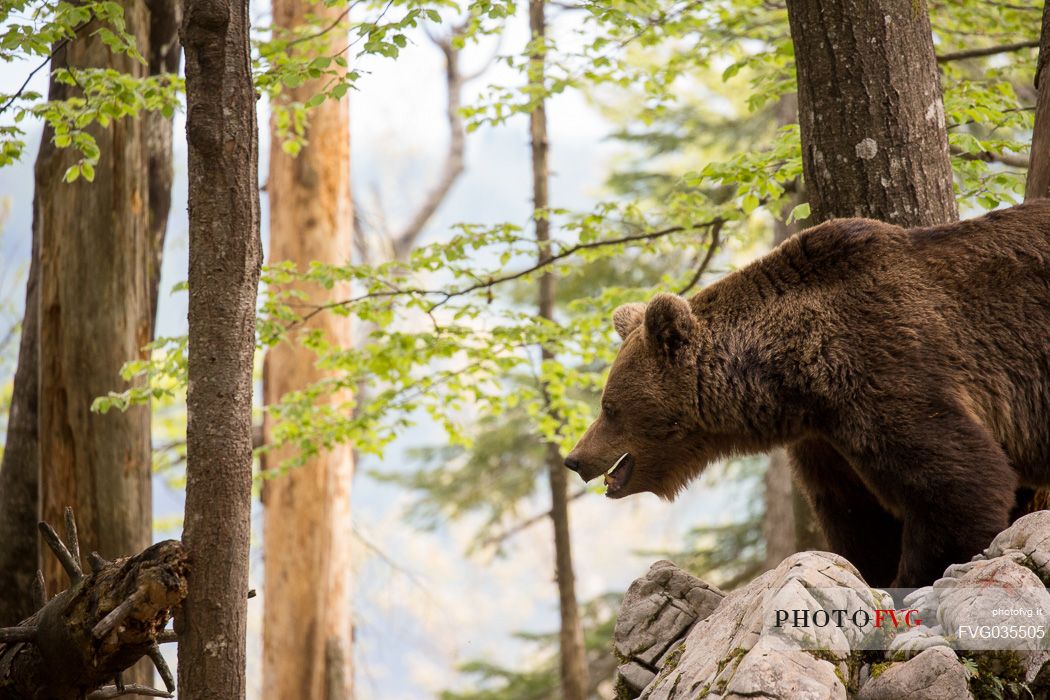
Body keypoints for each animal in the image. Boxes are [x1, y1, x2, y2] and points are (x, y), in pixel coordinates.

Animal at [571, 199, 1050, 587]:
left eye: (608, 407)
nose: (574, 458)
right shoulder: (826, 439)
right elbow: (858, 516)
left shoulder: (886, 365)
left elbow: (959, 479)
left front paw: (913, 578)